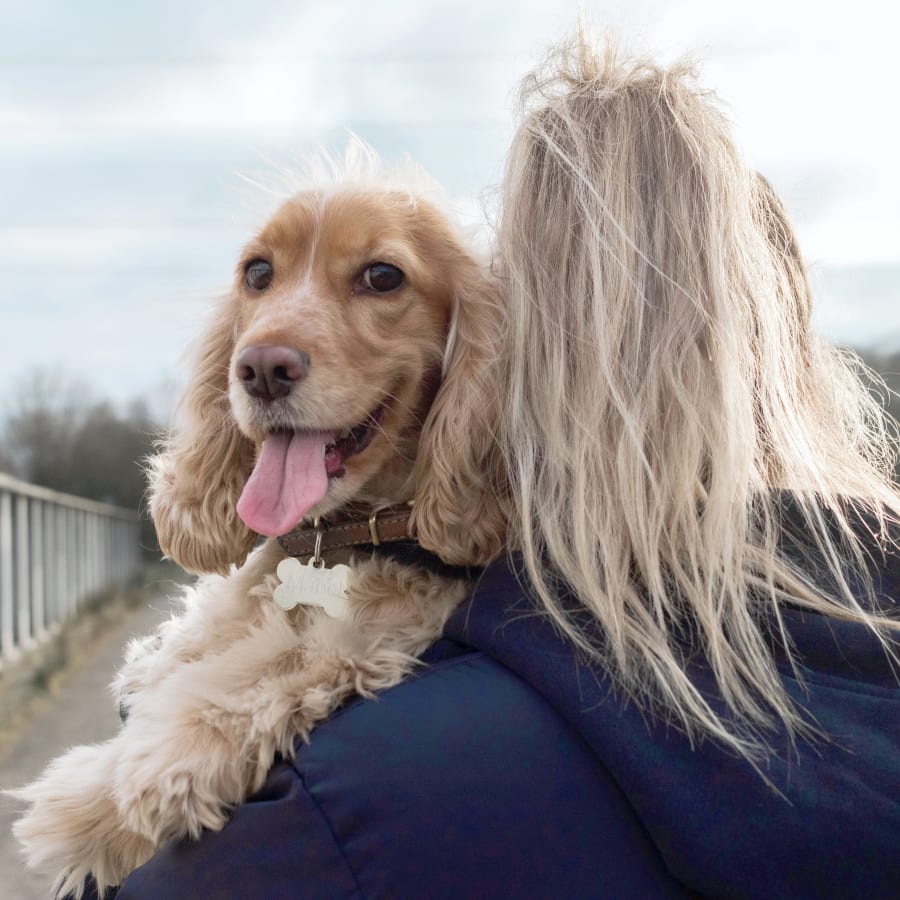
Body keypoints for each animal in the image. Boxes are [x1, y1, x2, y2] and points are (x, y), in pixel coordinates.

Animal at [10, 151, 506, 896]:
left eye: (382, 276)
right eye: (258, 272)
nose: (262, 368)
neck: (336, 536)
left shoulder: (385, 623)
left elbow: (262, 670)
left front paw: (106, 799)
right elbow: (208, 635)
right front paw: (151, 673)